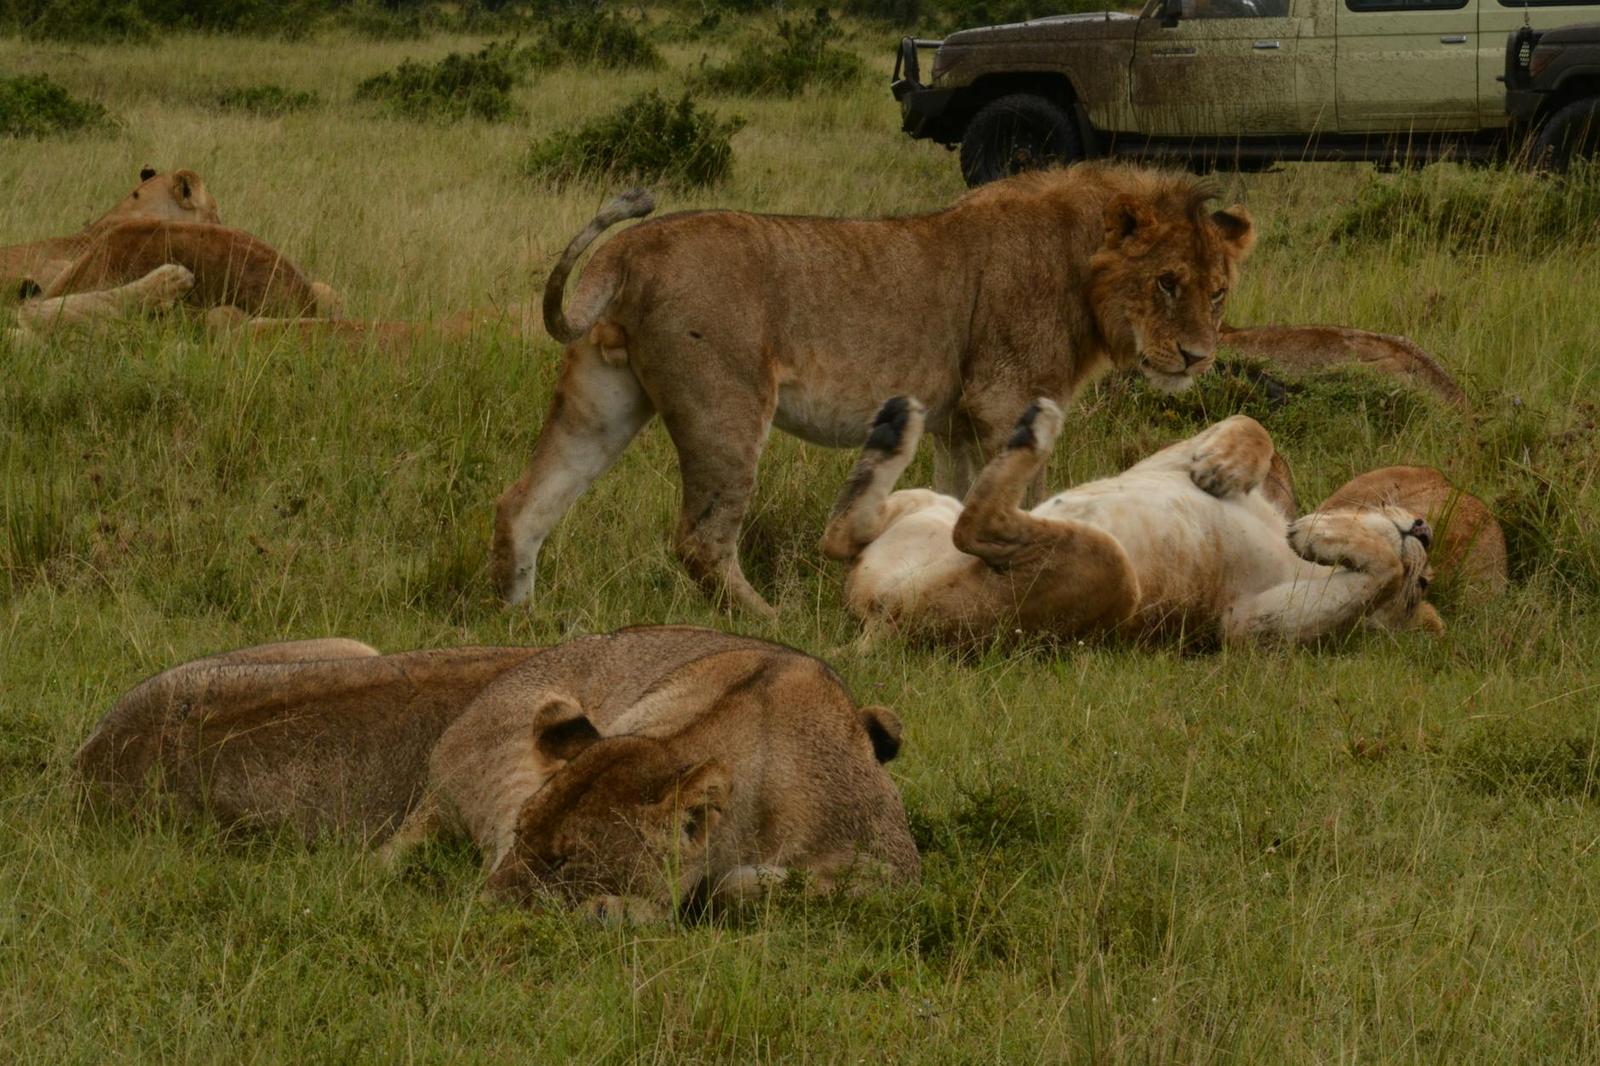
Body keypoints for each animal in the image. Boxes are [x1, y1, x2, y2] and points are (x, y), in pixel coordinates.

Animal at [493, 165, 1256, 616]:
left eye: (1218, 292)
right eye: (1167, 283)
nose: (1197, 357)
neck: (1080, 267)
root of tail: (630, 248)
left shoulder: (957, 420)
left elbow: (962, 494)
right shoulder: (1005, 399)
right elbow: (1031, 497)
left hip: (605, 399)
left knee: (524, 503)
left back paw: (519, 618)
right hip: (726, 408)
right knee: (700, 540)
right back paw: (776, 621)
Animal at [820, 397, 1437, 646]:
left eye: (1421, 589)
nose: (1425, 531)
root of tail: (879, 618)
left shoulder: (1242, 627)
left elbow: (1378, 574)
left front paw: (1320, 535)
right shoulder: (1162, 463)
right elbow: (1252, 424)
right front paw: (1223, 468)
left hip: (1113, 575)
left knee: (973, 523)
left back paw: (1032, 430)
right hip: (927, 503)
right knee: (841, 533)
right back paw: (897, 425)